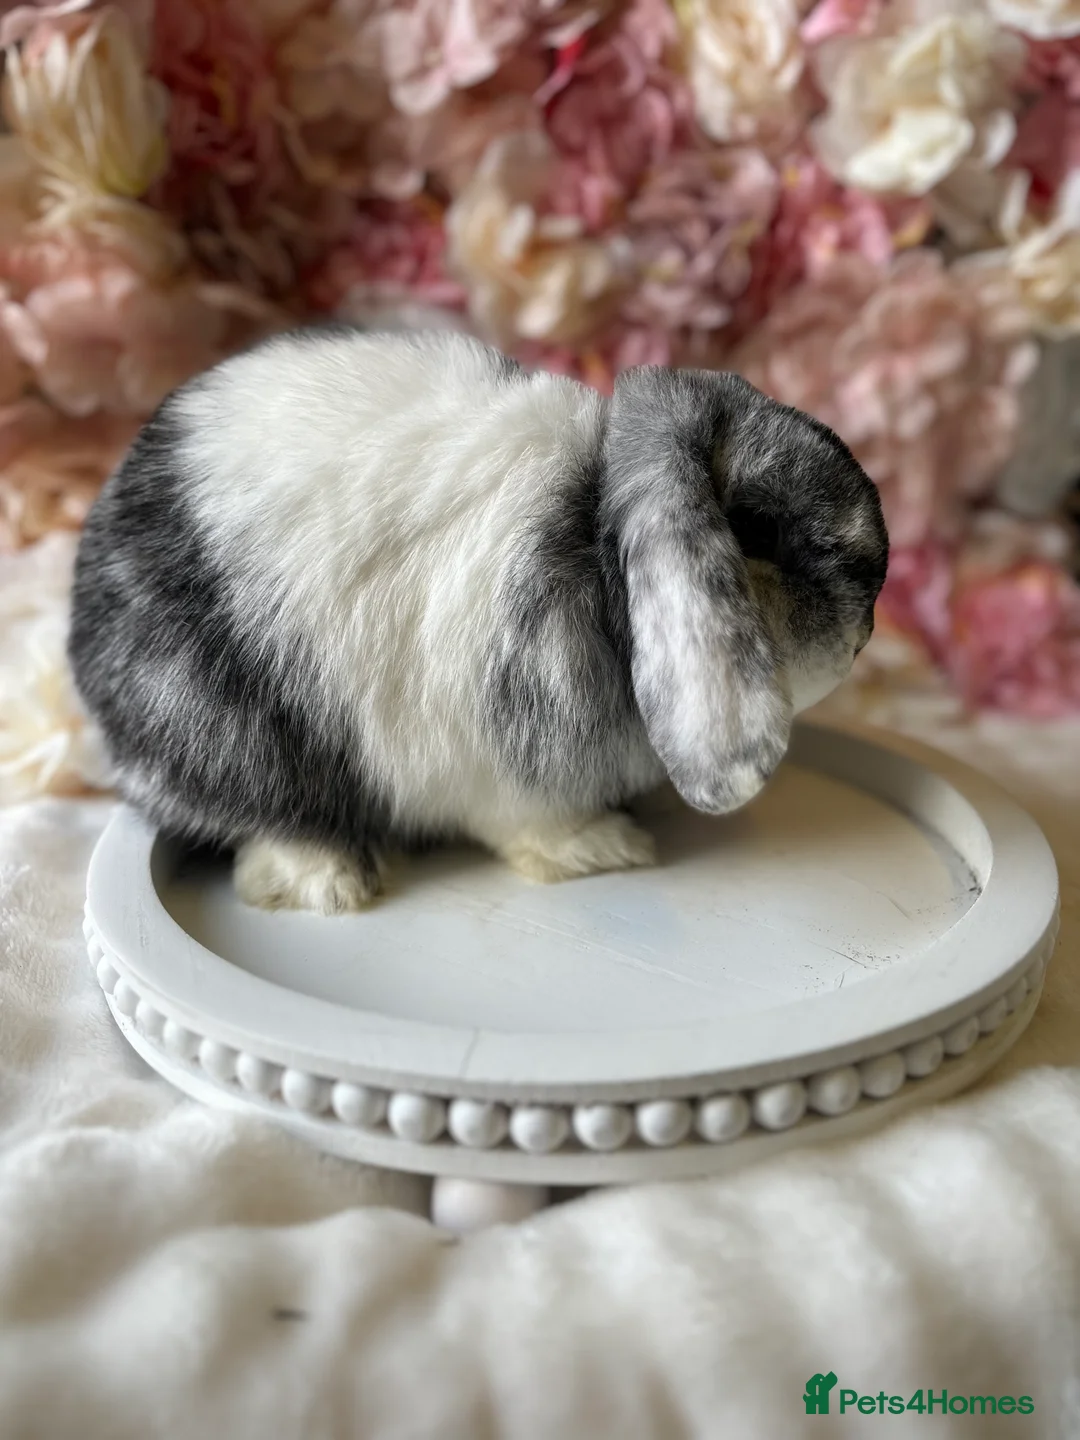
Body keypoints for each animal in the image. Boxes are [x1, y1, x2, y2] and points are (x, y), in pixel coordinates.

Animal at [68, 327, 888, 915]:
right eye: (753, 528)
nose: (869, 627)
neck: (599, 539)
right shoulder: (508, 767)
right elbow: (531, 826)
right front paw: (607, 848)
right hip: (230, 742)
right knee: (266, 824)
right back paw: (336, 881)